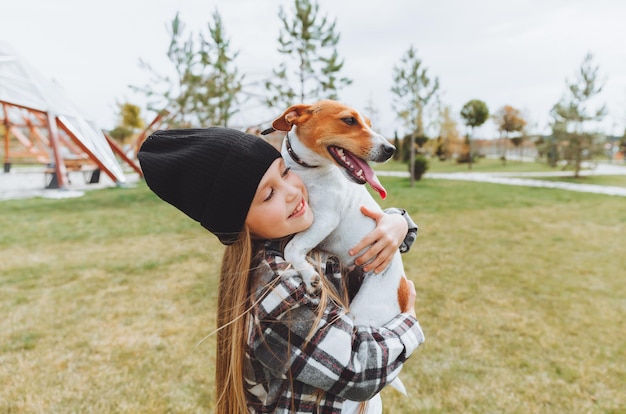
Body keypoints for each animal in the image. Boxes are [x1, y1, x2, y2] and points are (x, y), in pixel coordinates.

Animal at [262, 100, 412, 394]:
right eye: (349, 120)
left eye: (368, 123)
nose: (390, 149)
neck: (306, 171)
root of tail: (401, 290)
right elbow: (291, 246)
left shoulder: (324, 220)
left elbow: (292, 248)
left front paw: (310, 278)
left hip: (364, 316)